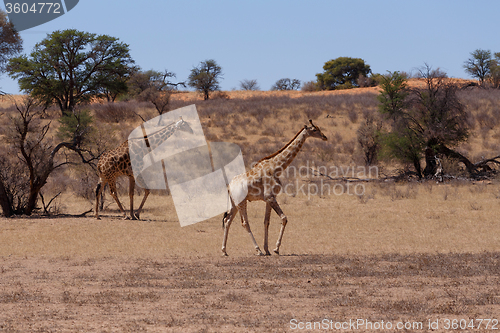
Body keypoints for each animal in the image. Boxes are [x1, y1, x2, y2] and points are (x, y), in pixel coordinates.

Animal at [223, 119, 328, 254]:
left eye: (319, 128)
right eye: (314, 130)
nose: (324, 137)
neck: (277, 167)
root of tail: (229, 187)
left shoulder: (269, 198)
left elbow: (266, 222)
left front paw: (267, 249)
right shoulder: (270, 196)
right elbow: (284, 218)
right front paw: (276, 249)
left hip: (234, 203)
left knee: (227, 220)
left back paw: (224, 251)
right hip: (241, 202)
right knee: (245, 223)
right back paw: (257, 250)